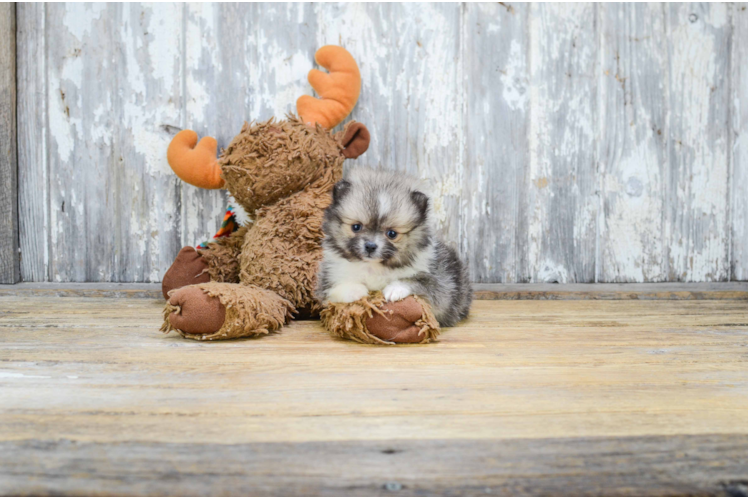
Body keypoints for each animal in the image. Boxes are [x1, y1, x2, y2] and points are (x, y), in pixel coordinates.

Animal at [318, 168, 470, 328]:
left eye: (392, 234)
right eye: (356, 227)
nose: (370, 246)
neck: (374, 266)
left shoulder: (442, 286)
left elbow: (419, 282)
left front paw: (396, 288)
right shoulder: (327, 279)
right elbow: (332, 291)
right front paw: (355, 290)